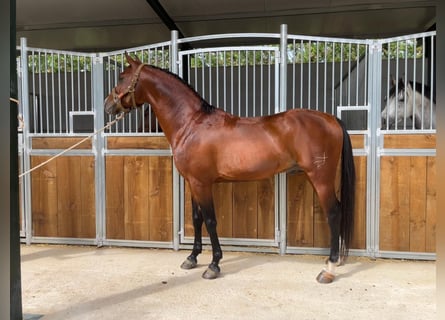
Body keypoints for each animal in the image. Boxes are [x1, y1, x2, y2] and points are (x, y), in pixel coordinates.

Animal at [103, 53, 354, 284]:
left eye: (122, 76)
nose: (107, 105)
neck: (192, 124)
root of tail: (331, 119)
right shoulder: (193, 182)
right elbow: (196, 218)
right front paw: (192, 258)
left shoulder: (202, 184)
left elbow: (210, 221)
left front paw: (213, 265)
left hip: (321, 178)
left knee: (334, 213)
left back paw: (329, 269)